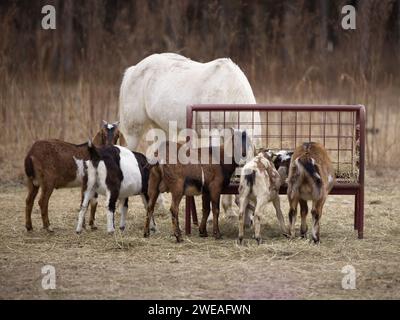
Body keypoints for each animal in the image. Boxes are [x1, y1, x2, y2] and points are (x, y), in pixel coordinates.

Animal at [119, 53, 262, 218]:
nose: (249, 220)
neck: (229, 91)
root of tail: (133, 69)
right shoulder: (211, 135)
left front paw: (229, 210)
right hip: (133, 133)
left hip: (161, 129)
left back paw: (158, 204)